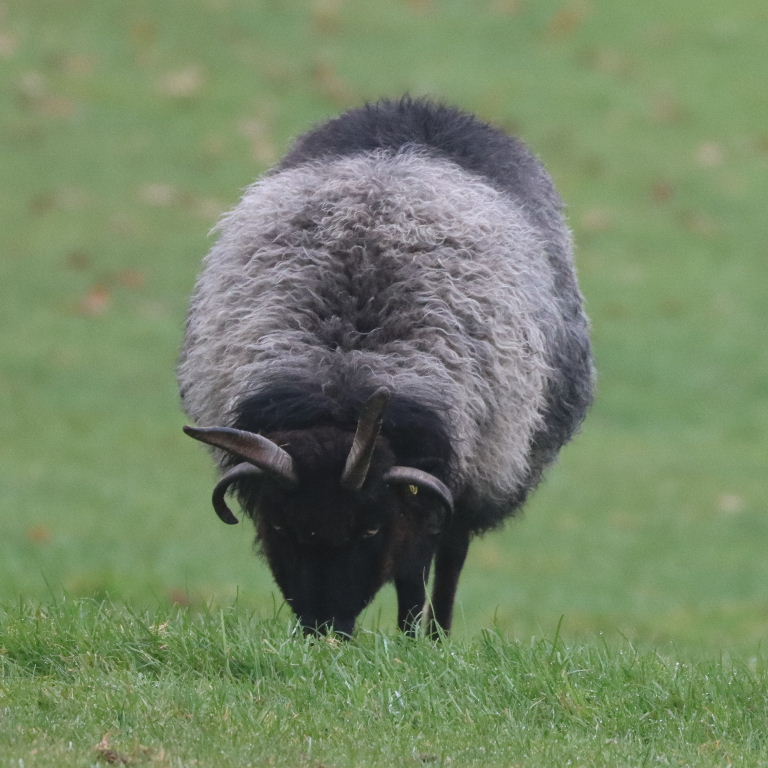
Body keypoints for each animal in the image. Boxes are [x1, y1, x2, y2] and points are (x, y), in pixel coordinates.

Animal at [178, 97, 595, 637]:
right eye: (282, 526)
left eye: (370, 528)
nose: (325, 630)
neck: (343, 376)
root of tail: (421, 107)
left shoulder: (439, 486)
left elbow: (418, 567)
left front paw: (414, 637)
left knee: (451, 557)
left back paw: (436, 633)